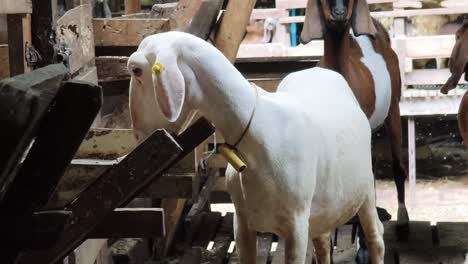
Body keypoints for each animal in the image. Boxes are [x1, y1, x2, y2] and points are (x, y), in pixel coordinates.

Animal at [128, 31, 384, 264]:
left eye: (136, 70)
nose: (138, 136)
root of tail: (320, 71)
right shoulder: (242, 222)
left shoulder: (296, 224)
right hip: (323, 208)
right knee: (322, 245)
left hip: (365, 189)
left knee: (375, 239)